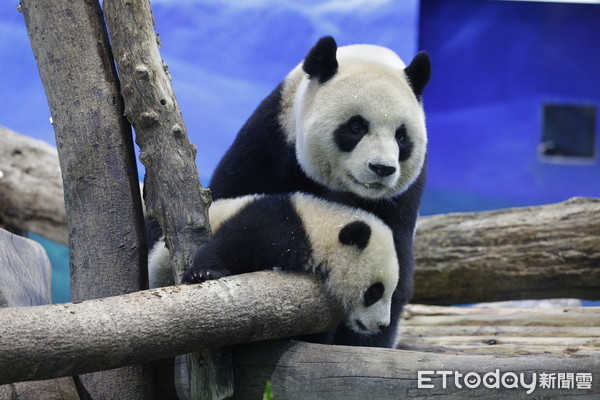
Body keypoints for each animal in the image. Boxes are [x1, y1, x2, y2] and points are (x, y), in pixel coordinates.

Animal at [147, 193, 398, 338]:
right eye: (374, 291)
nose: (382, 325)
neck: (320, 229)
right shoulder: (276, 222)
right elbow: (232, 241)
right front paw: (203, 273)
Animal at [209, 36, 428, 346]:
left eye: (401, 136)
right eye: (356, 126)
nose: (382, 168)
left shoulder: (399, 197)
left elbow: (394, 264)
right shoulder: (271, 143)